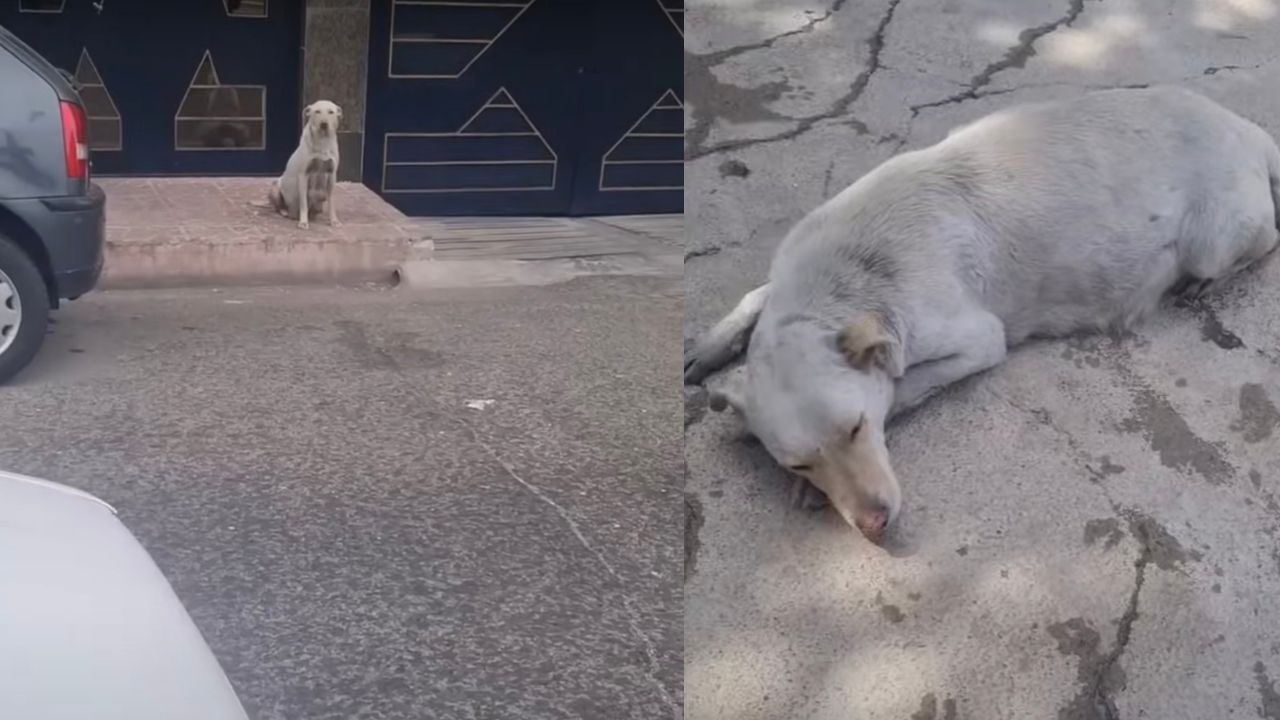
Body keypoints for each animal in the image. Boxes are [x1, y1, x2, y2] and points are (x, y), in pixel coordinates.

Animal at [686, 85, 1280, 538]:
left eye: (856, 429)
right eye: (801, 461)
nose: (875, 523)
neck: (844, 281)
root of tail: (1246, 128)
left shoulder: (979, 339)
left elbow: (903, 386)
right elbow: (754, 296)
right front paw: (709, 347)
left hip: (1214, 240)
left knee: (1266, 242)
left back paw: (1204, 282)